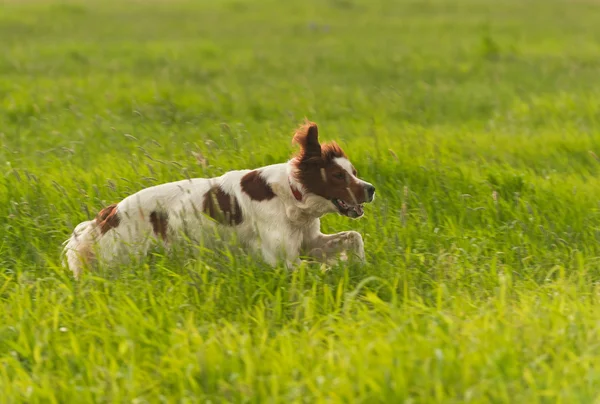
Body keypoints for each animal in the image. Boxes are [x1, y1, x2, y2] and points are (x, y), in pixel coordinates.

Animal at [64, 120, 376, 278]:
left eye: (354, 173)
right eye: (337, 175)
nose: (371, 188)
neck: (291, 195)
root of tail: (108, 214)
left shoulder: (309, 242)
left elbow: (354, 237)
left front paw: (361, 265)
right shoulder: (281, 258)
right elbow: (322, 266)